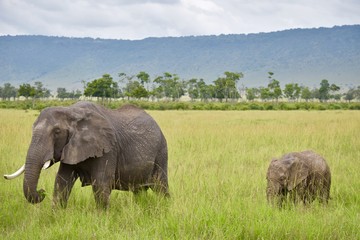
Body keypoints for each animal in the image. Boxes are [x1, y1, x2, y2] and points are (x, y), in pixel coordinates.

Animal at [4, 101, 169, 208]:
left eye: (57, 132)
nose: (42, 191)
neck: (71, 111)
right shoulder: (70, 147)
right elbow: (62, 182)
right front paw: (56, 216)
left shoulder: (108, 149)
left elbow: (101, 183)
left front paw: (102, 220)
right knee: (139, 191)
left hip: (161, 151)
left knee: (161, 186)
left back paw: (165, 207)